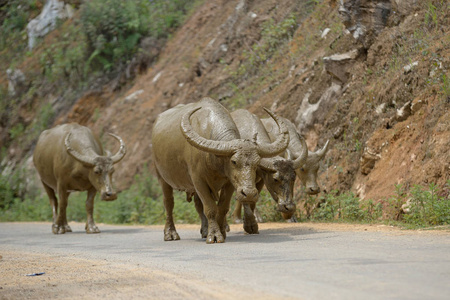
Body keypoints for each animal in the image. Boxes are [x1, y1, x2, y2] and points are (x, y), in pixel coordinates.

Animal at [149, 98, 286, 244]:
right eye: (234, 161)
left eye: (256, 164)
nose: (249, 193)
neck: (213, 157)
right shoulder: (198, 180)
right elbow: (210, 208)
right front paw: (214, 235)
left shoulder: (230, 183)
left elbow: (222, 208)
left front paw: (220, 231)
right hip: (162, 178)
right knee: (169, 203)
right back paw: (170, 234)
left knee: (197, 205)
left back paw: (204, 231)